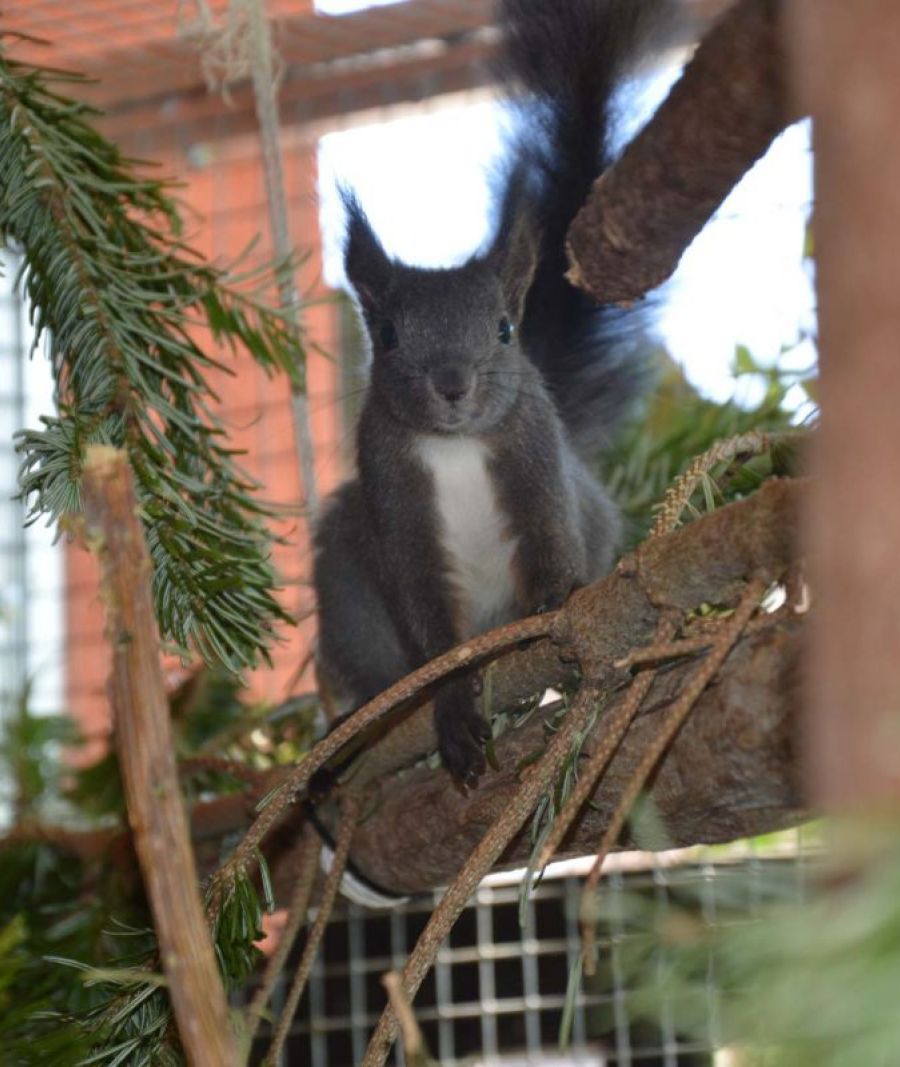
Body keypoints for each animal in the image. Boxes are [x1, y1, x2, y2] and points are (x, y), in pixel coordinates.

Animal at [313, 0, 673, 785]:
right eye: (389, 336)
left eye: (506, 330)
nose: (453, 384)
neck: (455, 446)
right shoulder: (392, 493)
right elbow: (428, 627)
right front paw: (453, 713)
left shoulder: (536, 456)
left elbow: (549, 540)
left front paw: (556, 611)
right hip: (348, 589)